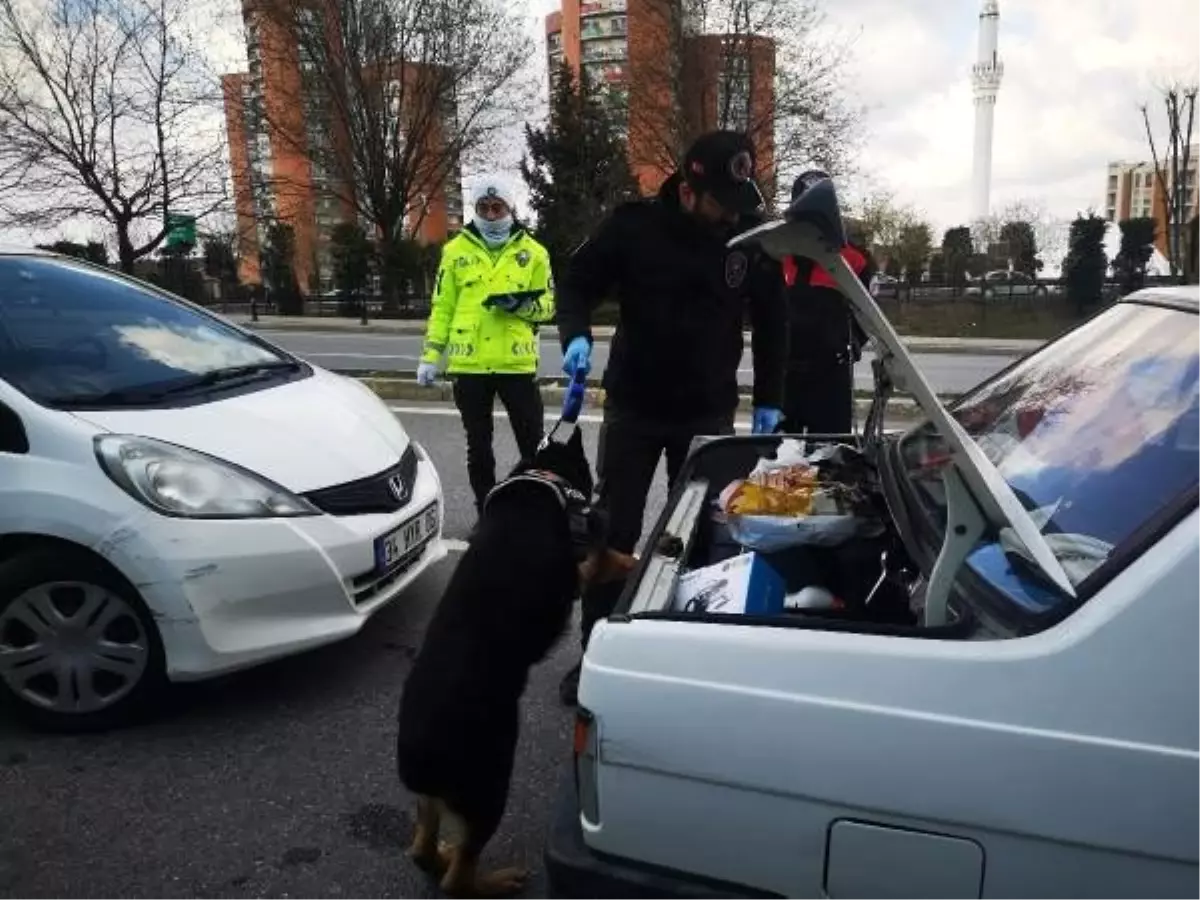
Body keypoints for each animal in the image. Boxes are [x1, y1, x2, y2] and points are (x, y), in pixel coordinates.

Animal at [396, 427, 638, 897]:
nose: (602, 488)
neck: (544, 478)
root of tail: (417, 756)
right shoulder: (578, 569)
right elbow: (603, 554)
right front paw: (630, 559)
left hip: (437, 799)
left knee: (422, 849)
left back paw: (442, 855)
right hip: (490, 784)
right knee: (458, 878)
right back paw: (496, 880)